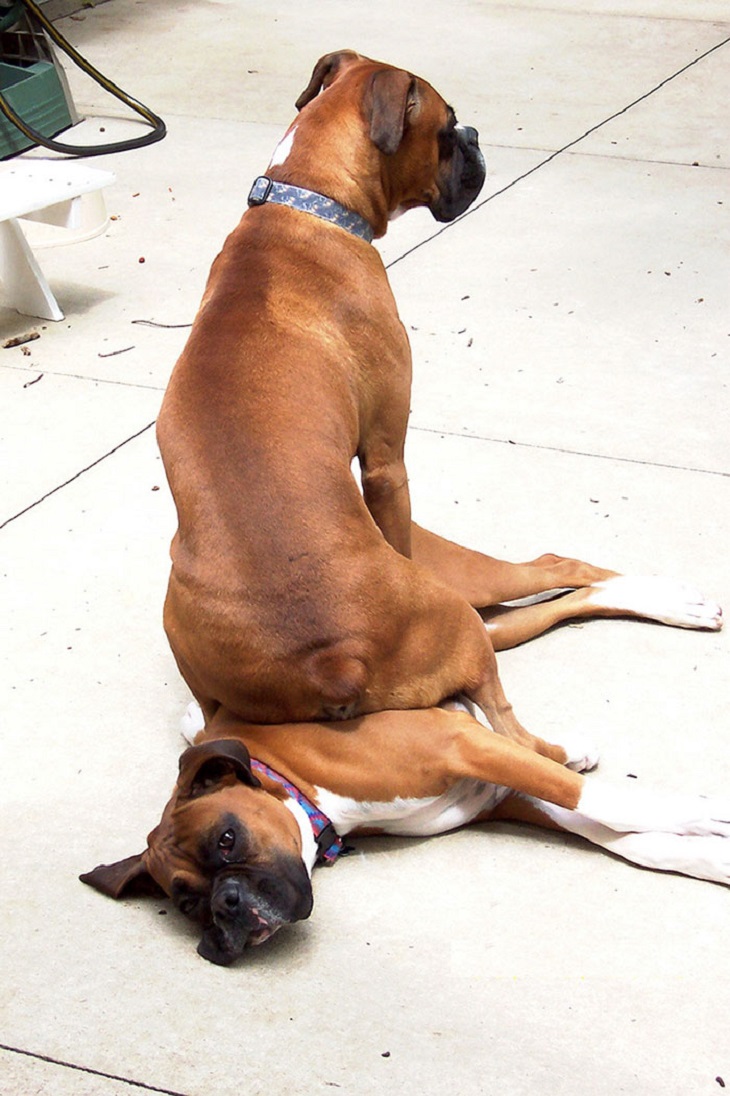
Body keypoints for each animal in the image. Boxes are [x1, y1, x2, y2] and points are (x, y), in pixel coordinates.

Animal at [81, 51, 723, 964]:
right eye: (449, 125)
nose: (478, 134)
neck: (301, 200)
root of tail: (329, 655)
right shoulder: (387, 454)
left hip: (444, 600)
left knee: (551, 588)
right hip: (455, 601)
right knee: (544, 603)